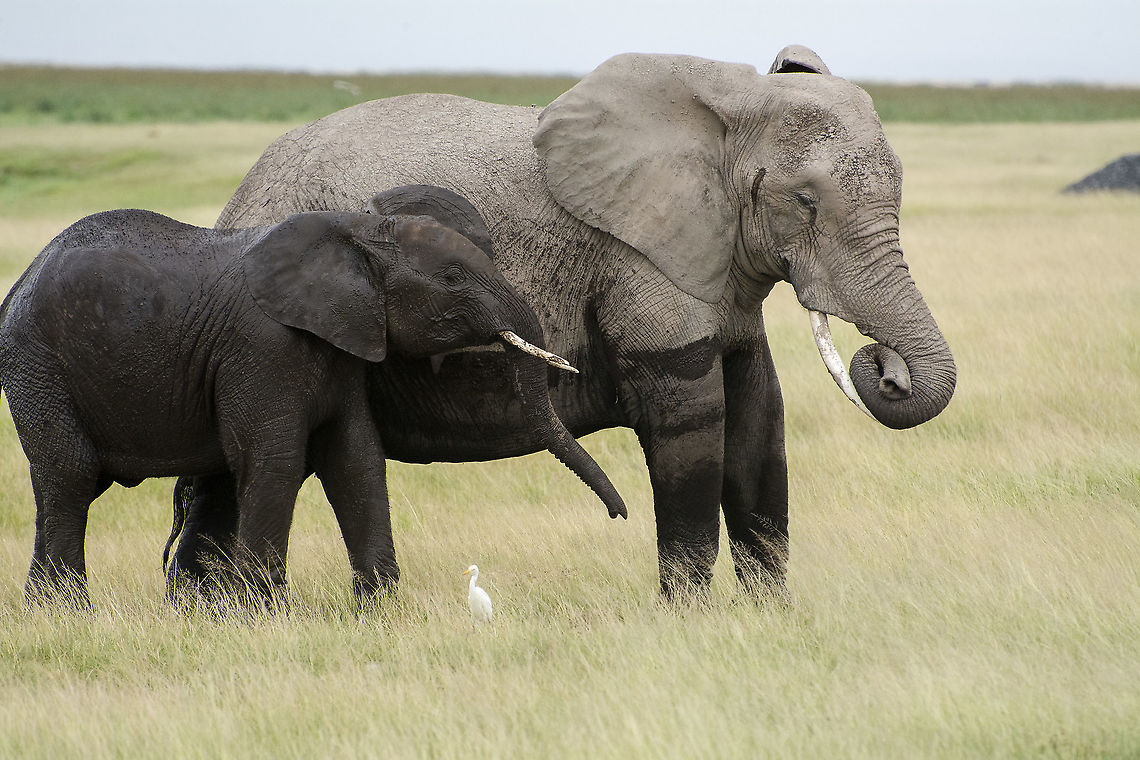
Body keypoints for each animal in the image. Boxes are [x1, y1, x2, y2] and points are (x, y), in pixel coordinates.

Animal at [0, 204, 627, 606]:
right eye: (452, 277)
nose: (619, 518)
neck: (356, 233)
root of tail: (20, 281)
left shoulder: (344, 340)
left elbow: (356, 458)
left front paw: (379, 611)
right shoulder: (265, 346)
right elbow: (276, 461)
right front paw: (264, 614)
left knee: (70, 480)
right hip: (36, 361)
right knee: (70, 474)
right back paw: (67, 613)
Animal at [175, 44, 957, 598]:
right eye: (805, 201)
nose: (884, 369)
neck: (730, 101)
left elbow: (759, 426)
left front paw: (768, 620)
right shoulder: (637, 260)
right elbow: (690, 426)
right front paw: (691, 622)